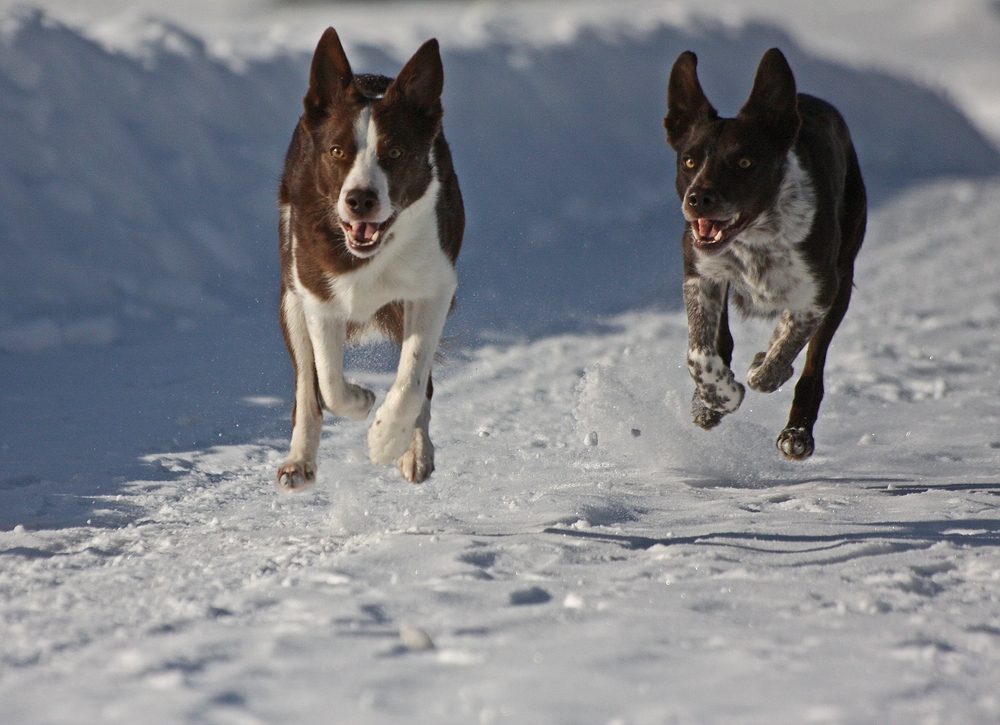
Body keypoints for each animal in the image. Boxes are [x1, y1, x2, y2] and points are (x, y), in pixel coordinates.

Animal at [278, 29, 464, 492]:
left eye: (394, 153)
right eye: (336, 150)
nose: (360, 199)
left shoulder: (433, 288)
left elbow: (412, 379)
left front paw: (385, 439)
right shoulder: (316, 292)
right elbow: (327, 383)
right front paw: (362, 399)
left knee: (423, 384)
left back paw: (415, 452)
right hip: (289, 298)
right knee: (307, 386)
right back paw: (299, 462)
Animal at [668, 48, 872, 460]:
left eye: (745, 162)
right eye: (689, 161)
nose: (698, 199)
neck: (755, 239)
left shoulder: (819, 293)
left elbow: (777, 359)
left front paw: (761, 368)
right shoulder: (702, 275)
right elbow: (700, 353)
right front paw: (720, 397)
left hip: (842, 278)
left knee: (811, 367)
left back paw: (797, 433)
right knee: (722, 341)